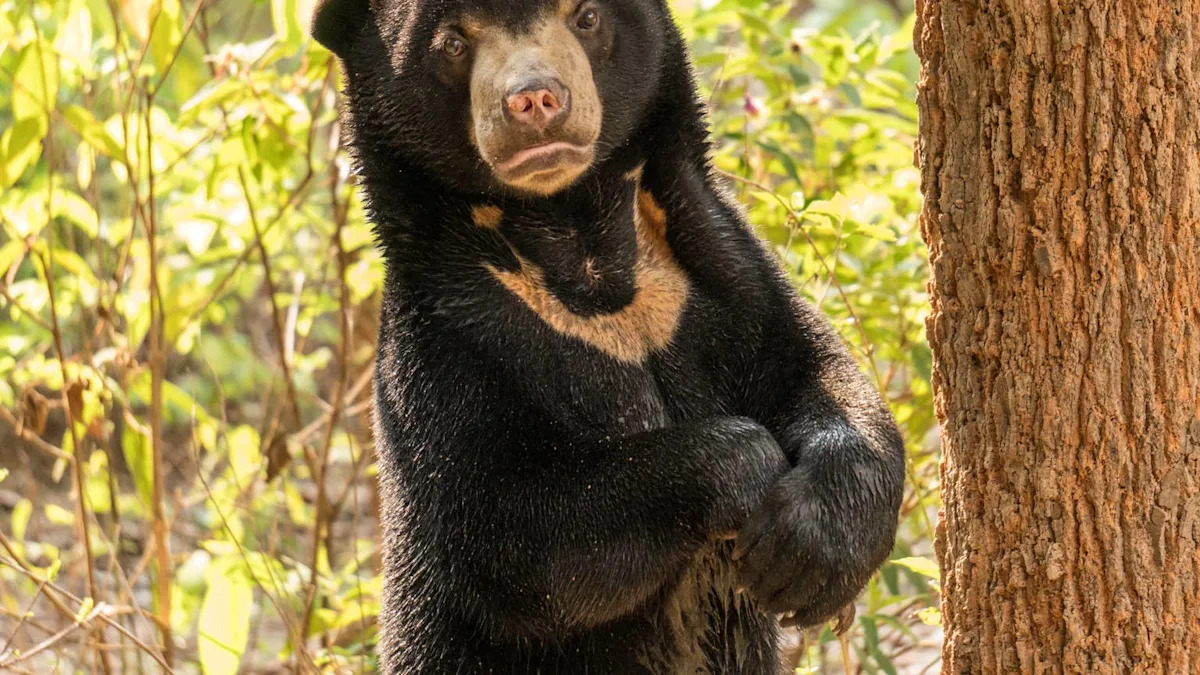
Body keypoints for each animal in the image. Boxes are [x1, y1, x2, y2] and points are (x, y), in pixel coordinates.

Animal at [310, 0, 906, 672]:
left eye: (586, 17)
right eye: (454, 43)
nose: (535, 100)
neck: (581, 246)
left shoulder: (718, 263)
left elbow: (815, 367)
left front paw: (807, 553)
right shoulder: (446, 341)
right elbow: (507, 531)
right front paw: (745, 468)